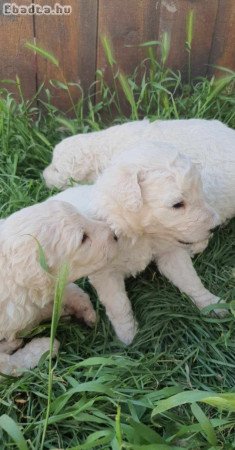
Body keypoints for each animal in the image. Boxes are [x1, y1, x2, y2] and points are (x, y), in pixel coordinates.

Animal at [0, 201, 117, 376]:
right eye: (83, 238)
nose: (116, 235)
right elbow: (10, 365)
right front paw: (45, 348)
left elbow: (65, 293)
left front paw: (83, 310)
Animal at [52, 144, 222, 344]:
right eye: (177, 204)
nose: (216, 226)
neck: (140, 234)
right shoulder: (105, 274)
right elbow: (118, 304)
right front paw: (129, 336)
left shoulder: (170, 252)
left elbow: (190, 280)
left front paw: (212, 304)